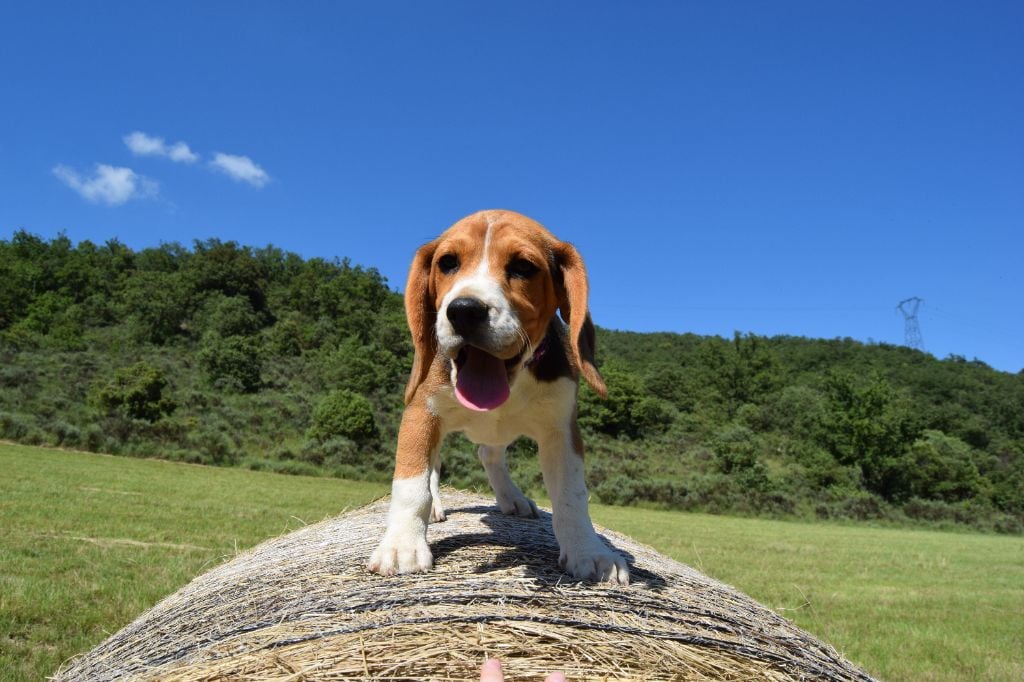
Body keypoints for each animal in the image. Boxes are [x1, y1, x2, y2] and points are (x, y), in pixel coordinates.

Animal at [366, 209, 622, 581]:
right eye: (447, 262)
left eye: (523, 267)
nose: (464, 310)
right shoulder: (421, 413)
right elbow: (412, 484)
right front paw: (402, 546)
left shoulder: (561, 430)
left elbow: (572, 496)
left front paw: (588, 551)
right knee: (434, 468)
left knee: (490, 453)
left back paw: (511, 497)